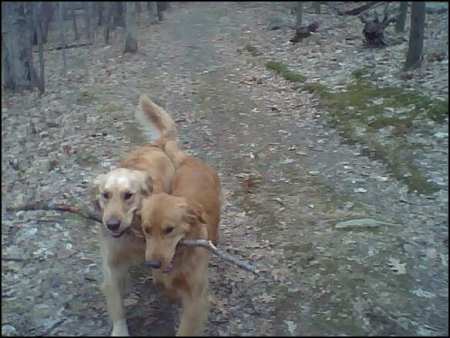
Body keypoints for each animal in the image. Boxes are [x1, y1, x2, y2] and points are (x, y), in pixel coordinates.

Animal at [93, 94, 178, 336]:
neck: (131, 236)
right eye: (105, 195)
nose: (112, 224)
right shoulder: (111, 267)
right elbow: (117, 305)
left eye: (128, 195)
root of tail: (153, 145)